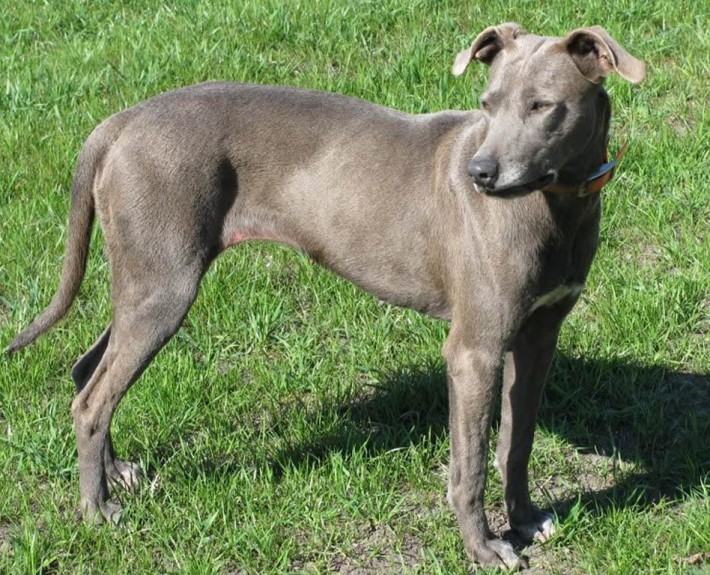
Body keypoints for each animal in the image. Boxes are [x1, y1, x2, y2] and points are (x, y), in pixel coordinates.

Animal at [8, 22, 644, 572]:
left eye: (542, 106)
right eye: (487, 104)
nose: (480, 173)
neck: (556, 206)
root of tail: (119, 122)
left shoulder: (537, 338)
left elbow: (516, 442)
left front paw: (528, 518)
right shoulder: (474, 349)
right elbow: (470, 468)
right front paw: (485, 547)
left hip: (144, 282)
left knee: (89, 370)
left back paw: (117, 472)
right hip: (165, 284)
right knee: (93, 399)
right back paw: (97, 510)